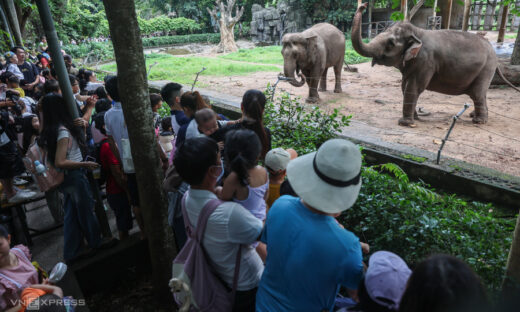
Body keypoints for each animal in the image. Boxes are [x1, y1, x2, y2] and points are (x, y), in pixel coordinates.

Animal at [352, 2, 516, 127]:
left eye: (391, 43)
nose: (363, 5)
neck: (417, 31)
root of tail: (494, 53)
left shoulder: (425, 61)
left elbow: (414, 88)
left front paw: (406, 123)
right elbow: (405, 87)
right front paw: (415, 119)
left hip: (486, 68)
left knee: (477, 93)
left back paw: (478, 121)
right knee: (481, 94)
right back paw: (473, 115)